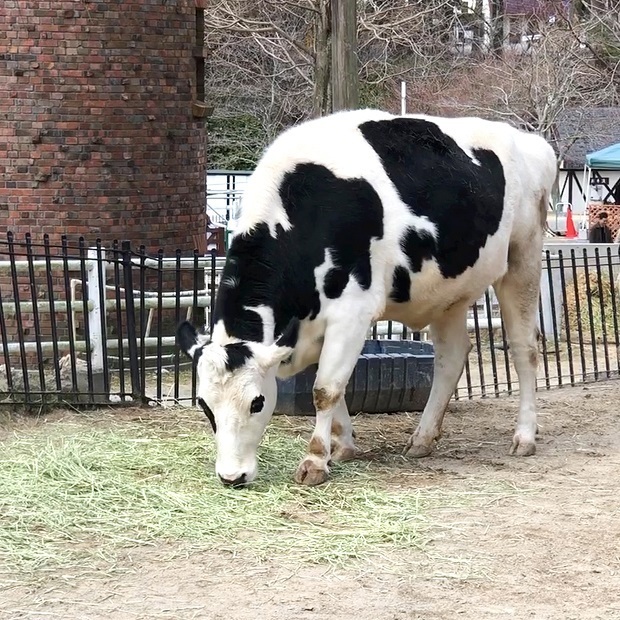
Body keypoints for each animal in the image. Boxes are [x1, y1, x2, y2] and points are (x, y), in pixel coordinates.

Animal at [178, 109, 556, 486]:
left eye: (257, 403)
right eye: (204, 405)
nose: (232, 476)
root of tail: (529, 142)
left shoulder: (352, 313)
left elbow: (325, 389)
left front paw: (316, 459)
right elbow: (326, 384)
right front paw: (343, 444)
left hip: (523, 258)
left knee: (524, 349)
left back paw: (524, 435)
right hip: (450, 291)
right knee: (451, 357)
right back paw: (423, 438)